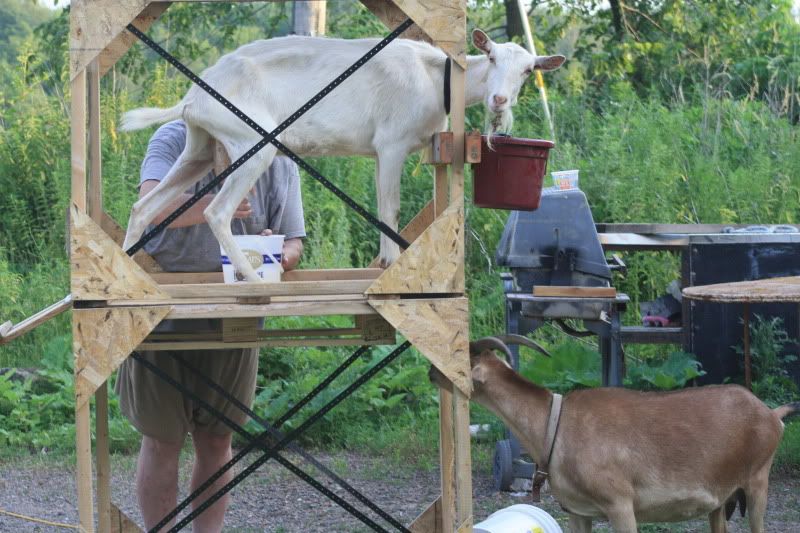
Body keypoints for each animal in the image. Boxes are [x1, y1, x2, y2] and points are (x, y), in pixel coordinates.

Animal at [119, 30, 565, 280]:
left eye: (528, 71)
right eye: (490, 57)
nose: (499, 99)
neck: (435, 77)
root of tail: (192, 98)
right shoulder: (391, 144)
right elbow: (390, 207)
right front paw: (388, 264)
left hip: (198, 147)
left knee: (143, 207)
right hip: (250, 143)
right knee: (216, 211)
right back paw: (251, 277)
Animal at [429, 336, 799, 533]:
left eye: (459, 356)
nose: (432, 371)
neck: (555, 426)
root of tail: (771, 415)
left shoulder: (620, 504)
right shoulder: (578, 511)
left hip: (757, 481)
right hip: (721, 501)